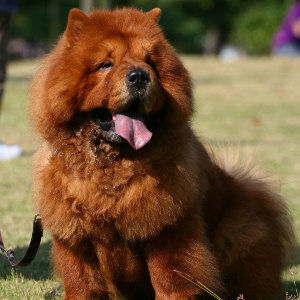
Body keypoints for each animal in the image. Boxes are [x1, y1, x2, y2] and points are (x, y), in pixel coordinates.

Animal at [29, 7, 292, 300]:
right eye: (106, 64)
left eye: (150, 63)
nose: (139, 76)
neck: (110, 166)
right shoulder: (75, 237)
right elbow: (81, 282)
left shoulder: (168, 227)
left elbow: (170, 278)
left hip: (238, 236)